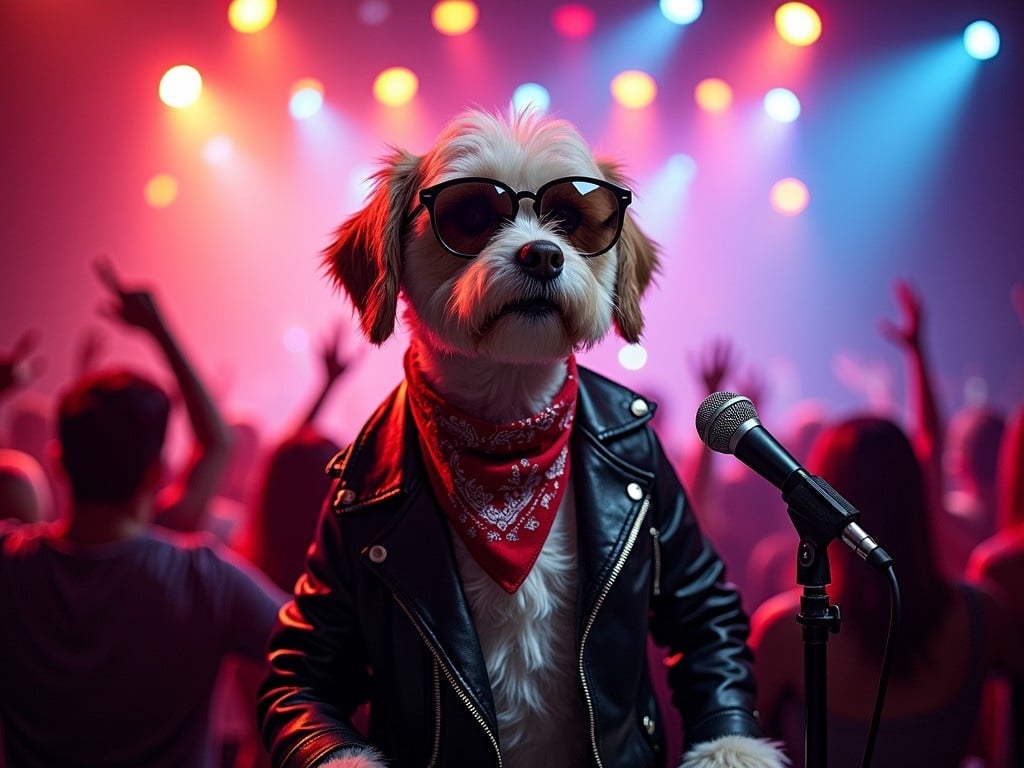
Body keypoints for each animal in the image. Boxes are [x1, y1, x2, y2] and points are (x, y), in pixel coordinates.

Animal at [260, 108, 786, 768]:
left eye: (571, 217)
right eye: (469, 214)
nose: (542, 255)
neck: (508, 442)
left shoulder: (662, 484)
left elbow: (702, 605)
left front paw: (733, 749)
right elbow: (305, 669)